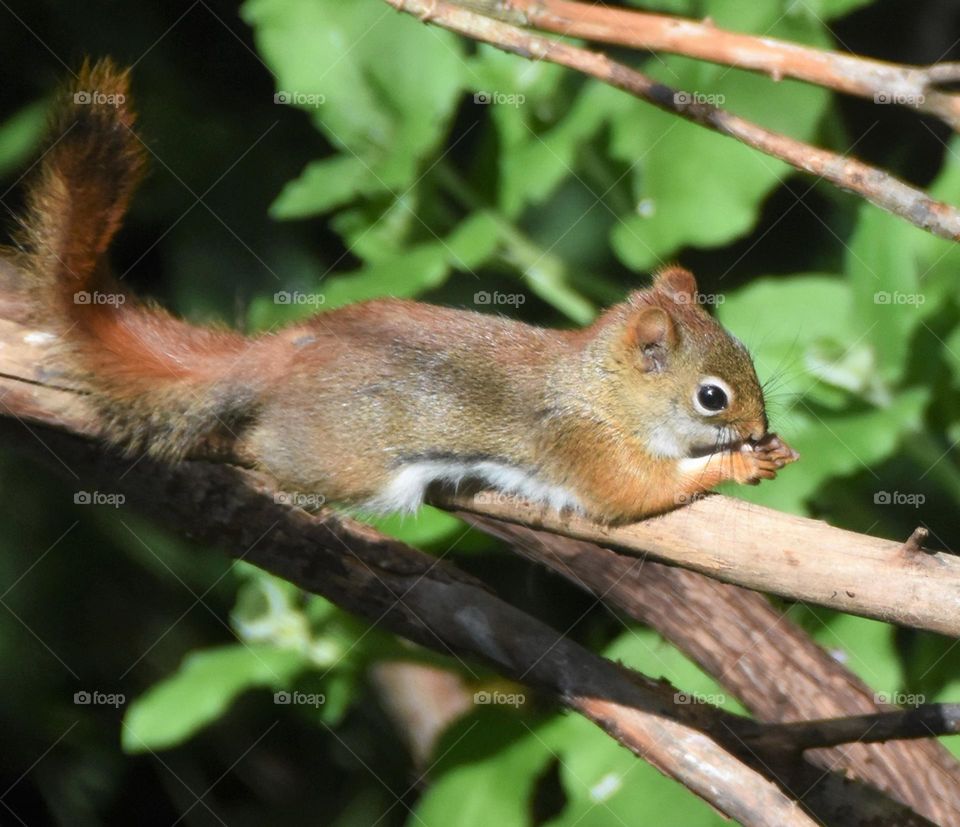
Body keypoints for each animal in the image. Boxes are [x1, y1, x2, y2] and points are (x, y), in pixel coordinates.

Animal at [3, 61, 800, 524]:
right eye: (711, 398)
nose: (760, 426)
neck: (598, 388)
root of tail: (281, 353)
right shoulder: (581, 446)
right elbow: (636, 492)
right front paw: (739, 462)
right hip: (344, 462)